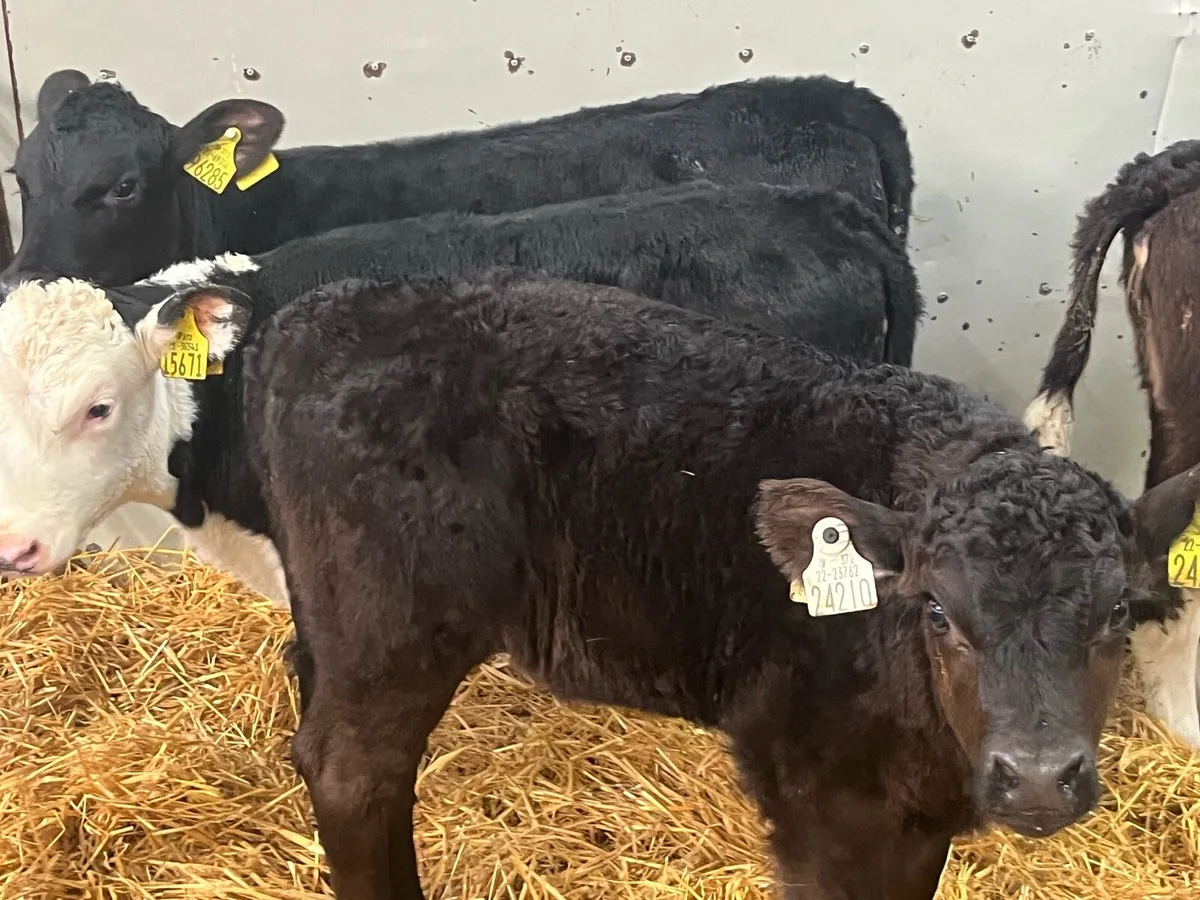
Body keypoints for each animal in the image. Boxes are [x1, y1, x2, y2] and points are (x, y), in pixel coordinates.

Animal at [1, 266, 1195, 899]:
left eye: (1116, 616)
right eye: (939, 611)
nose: (1037, 777)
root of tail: (315, 313)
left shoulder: (916, 809)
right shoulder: (814, 787)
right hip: (395, 621)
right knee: (352, 772)